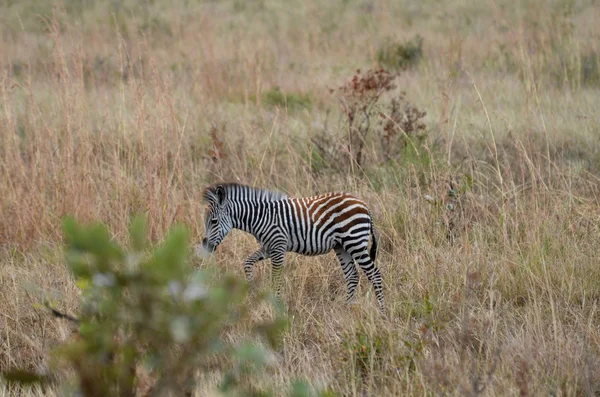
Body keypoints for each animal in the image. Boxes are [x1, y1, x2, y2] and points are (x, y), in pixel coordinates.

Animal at [198, 183, 384, 310]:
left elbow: (276, 279)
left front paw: (275, 307)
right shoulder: (268, 248)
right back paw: (346, 308)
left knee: (375, 274)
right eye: (207, 221)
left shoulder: (278, 246)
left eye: (213, 221)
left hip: (355, 241)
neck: (260, 218)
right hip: (342, 246)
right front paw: (250, 291)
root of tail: (364, 204)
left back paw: (382, 312)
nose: (206, 246)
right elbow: (247, 263)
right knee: (352, 276)